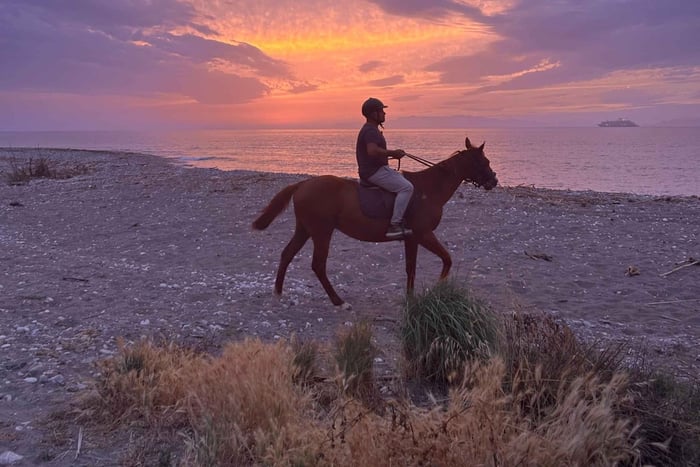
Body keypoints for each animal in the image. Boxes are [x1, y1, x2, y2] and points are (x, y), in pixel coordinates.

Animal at [252, 136, 498, 308]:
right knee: (318, 265)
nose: (494, 181)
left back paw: (278, 292)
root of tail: (303, 184)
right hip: (322, 232)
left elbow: (411, 268)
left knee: (287, 254)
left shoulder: (412, 238)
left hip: (305, 229)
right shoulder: (423, 234)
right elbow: (446, 260)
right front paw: (438, 288)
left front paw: (410, 297)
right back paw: (339, 301)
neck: (429, 189)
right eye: (484, 161)